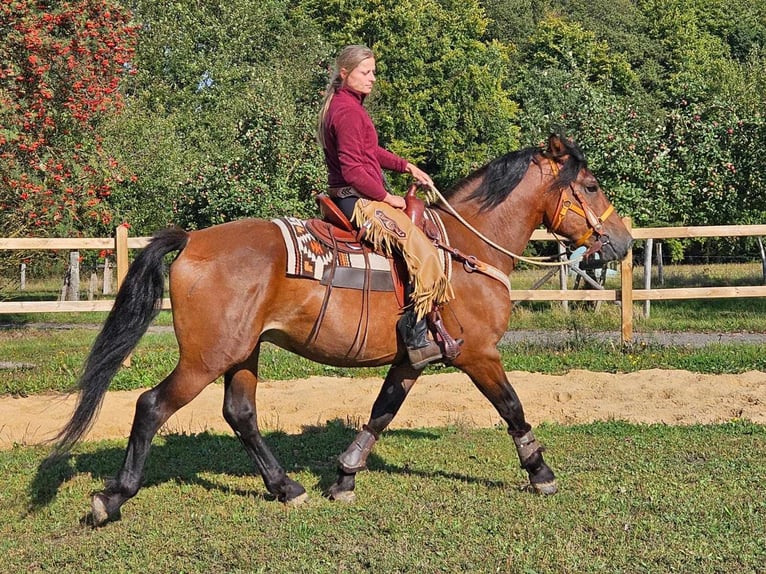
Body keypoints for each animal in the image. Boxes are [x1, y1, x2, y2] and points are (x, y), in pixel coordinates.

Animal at [52, 134, 632, 528]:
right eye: (591, 185)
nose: (623, 242)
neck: (465, 252)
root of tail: (192, 240)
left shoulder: (410, 358)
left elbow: (381, 412)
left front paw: (345, 476)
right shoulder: (478, 354)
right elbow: (512, 408)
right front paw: (540, 472)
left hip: (241, 353)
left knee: (240, 414)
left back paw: (286, 487)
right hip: (204, 359)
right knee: (152, 406)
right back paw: (111, 498)